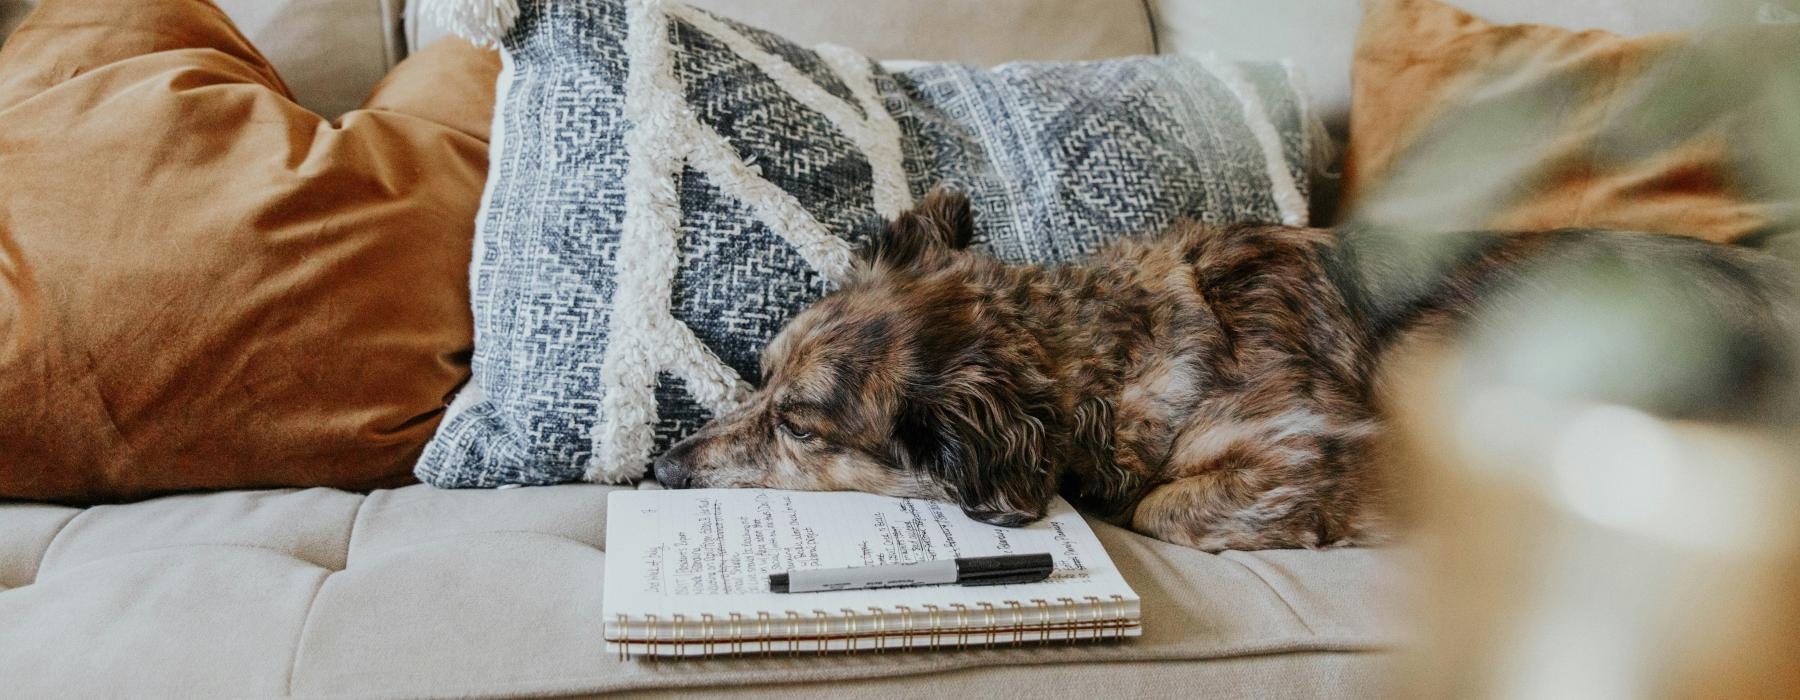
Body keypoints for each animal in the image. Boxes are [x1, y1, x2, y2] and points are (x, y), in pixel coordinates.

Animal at [655, 188, 1792, 547]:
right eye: (757, 376)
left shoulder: (1320, 438)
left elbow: (1166, 507)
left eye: (799, 423)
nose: (662, 468)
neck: (1106, 352)